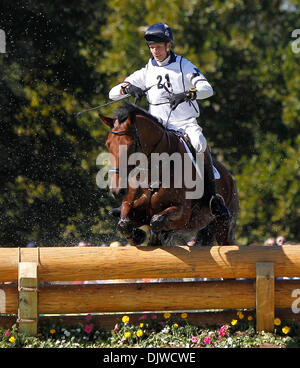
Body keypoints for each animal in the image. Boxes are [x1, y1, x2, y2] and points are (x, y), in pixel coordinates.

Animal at [99, 103, 238, 247]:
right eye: (108, 144)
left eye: (131, 145)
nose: (117, 191)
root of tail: (229, 177)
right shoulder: (134, 209)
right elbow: (123, 224)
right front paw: (139, 236)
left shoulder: (183, 212)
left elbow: (156, 220)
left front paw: (153, 236)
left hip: (224, 228)